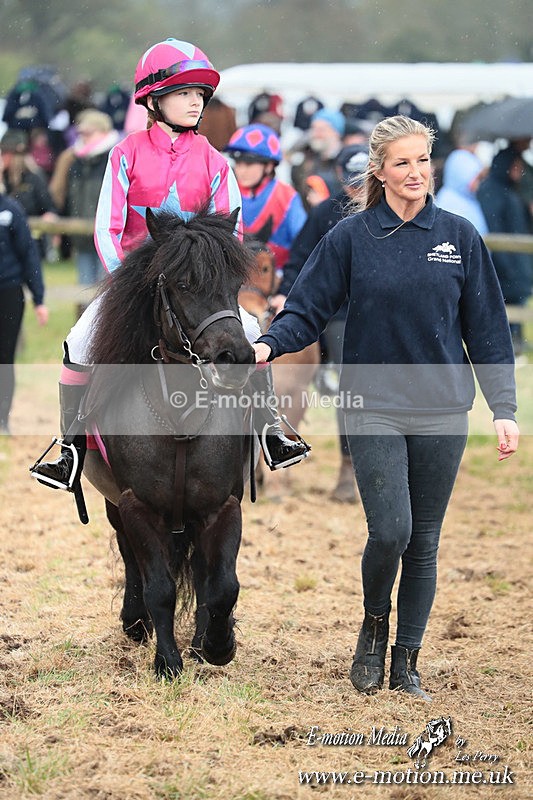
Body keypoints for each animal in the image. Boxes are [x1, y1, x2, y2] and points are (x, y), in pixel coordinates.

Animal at [81, 207, 257, 679]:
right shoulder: (136, 505)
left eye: (236, 283)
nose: (236, 359)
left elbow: (222, 585)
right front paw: (167, 662)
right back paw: (135, 622)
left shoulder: (222, 505)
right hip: (114, 503)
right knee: (132, 559)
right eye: (183, 283)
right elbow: (159, 585)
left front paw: (216, 645)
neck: (179, 417)